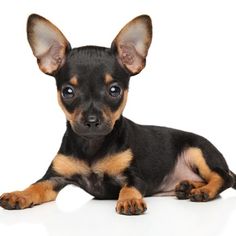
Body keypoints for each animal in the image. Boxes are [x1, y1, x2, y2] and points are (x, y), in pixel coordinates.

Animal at [0, 13, 236, 215]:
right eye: (68, 91)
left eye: (114, 90)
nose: (92, 121)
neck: (92, 146)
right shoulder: (54, 178)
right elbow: (36, 186)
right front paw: (19, 194)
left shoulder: (135, 177)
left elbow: (128, 187)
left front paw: (129, 200)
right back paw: (187, 186)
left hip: (198, 151)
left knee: (223, 177)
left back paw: (204, 190)